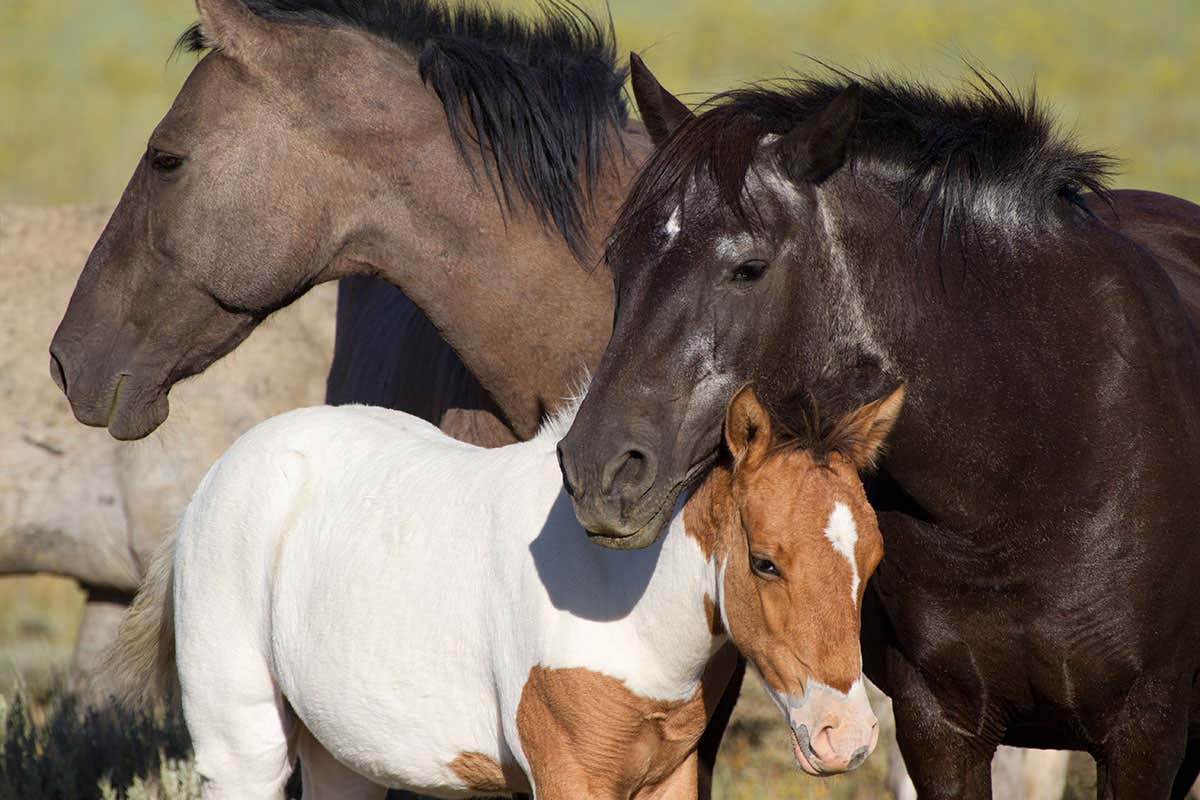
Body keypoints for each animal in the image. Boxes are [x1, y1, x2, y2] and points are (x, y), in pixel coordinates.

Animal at [111, 384, 901, 798]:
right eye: (765, 563)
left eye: (875, 560)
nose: (847, 737)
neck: (623, 604)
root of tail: (218, 476)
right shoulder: (570, 779)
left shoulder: (667, 777)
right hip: (241, 743)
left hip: (341, 752)